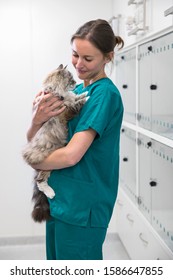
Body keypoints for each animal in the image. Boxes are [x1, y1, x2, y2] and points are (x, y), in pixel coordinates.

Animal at [22, 64, 88, 222]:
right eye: (70, 79)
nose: (76, 82)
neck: (57, 91)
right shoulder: (67, 110)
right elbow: (77, 104)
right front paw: (87, 97)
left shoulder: (68, 100)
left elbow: (75, 97)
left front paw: (85, 92)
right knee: (40, 182)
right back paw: (51, 193)